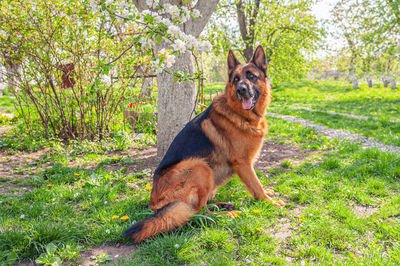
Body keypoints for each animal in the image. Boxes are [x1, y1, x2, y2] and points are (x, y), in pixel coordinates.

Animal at [125, 45, 284, 243]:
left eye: (251, 76)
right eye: (236, 79)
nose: (241, 90)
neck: (240, 114)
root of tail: (153, 203)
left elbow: (257, 186)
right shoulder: (243, 163)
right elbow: (256, 185)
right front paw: (269, 202)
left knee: (201, 206)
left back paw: (223, 205)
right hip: (200, 166)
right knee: (195, 212)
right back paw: (228, 213)